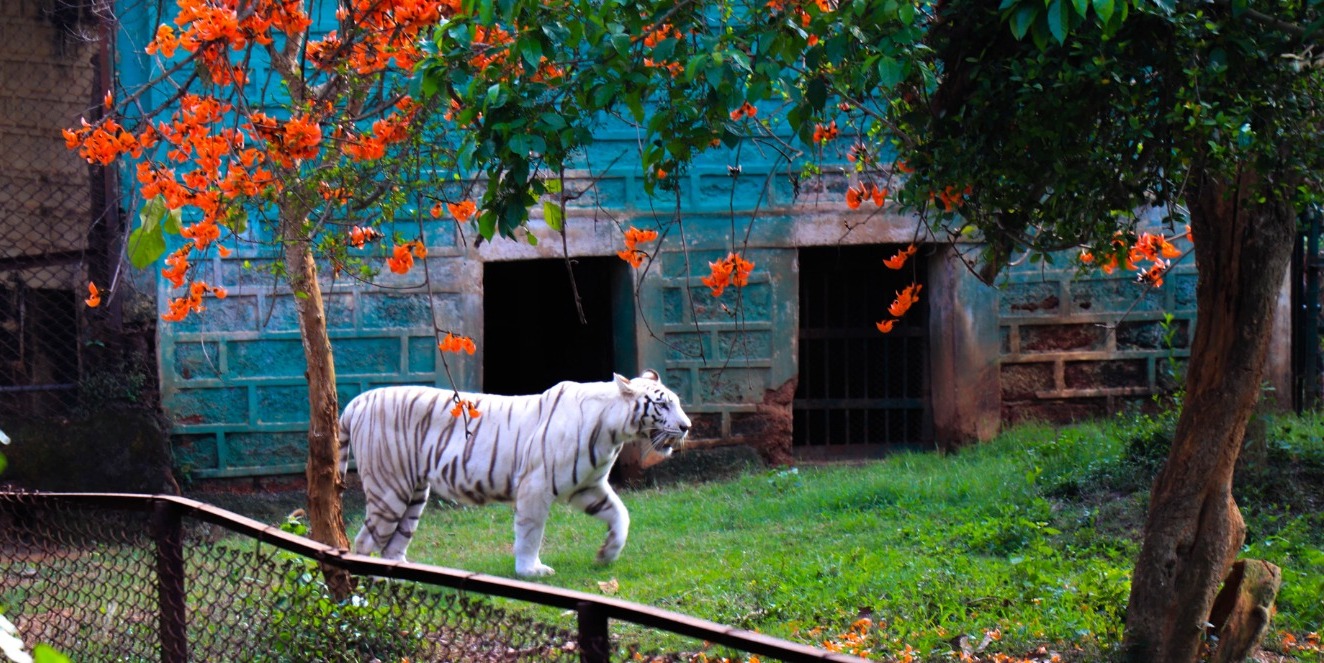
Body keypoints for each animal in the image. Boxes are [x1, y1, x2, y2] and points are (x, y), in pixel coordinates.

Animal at [338, 370, 693, 576]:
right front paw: (530, 571)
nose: (687, 426)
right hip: (390, 487)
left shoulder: (587, 486)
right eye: (662, 405)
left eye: (676, 402)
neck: (614, 431)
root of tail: (358, 400)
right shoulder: (536, 487)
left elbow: (621, 515)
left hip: (413, 492)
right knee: (366, 540)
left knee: (393, 544)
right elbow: (530, 533)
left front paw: (607, 554)